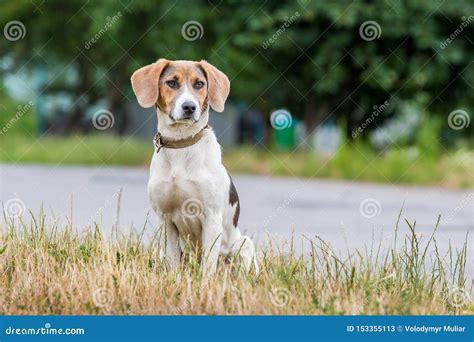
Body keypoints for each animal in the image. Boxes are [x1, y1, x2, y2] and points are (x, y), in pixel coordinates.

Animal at [131, 58, 258, 272]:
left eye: (199, 84)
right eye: (172, 83)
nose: (189, 107)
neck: (181, 144)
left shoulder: (212, 218)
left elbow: (208, 265)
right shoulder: (165, 219)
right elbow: (173, 262)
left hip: (243, 244)